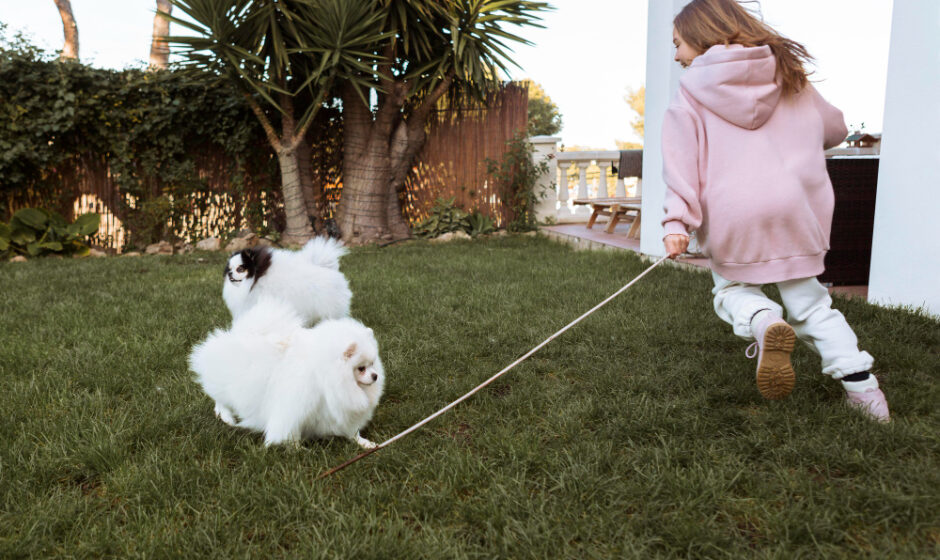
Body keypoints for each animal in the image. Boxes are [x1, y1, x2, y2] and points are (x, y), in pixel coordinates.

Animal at [189, 298, 384, 450]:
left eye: (372, 364)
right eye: (361, 368)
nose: (375, 376)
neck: (329, 375)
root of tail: (242, 332)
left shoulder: (337, 410)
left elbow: (352, 432)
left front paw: (365, 443)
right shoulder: (295, 407)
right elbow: (293, 431)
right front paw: (298, 450)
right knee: (220, 399)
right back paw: (226, 417)